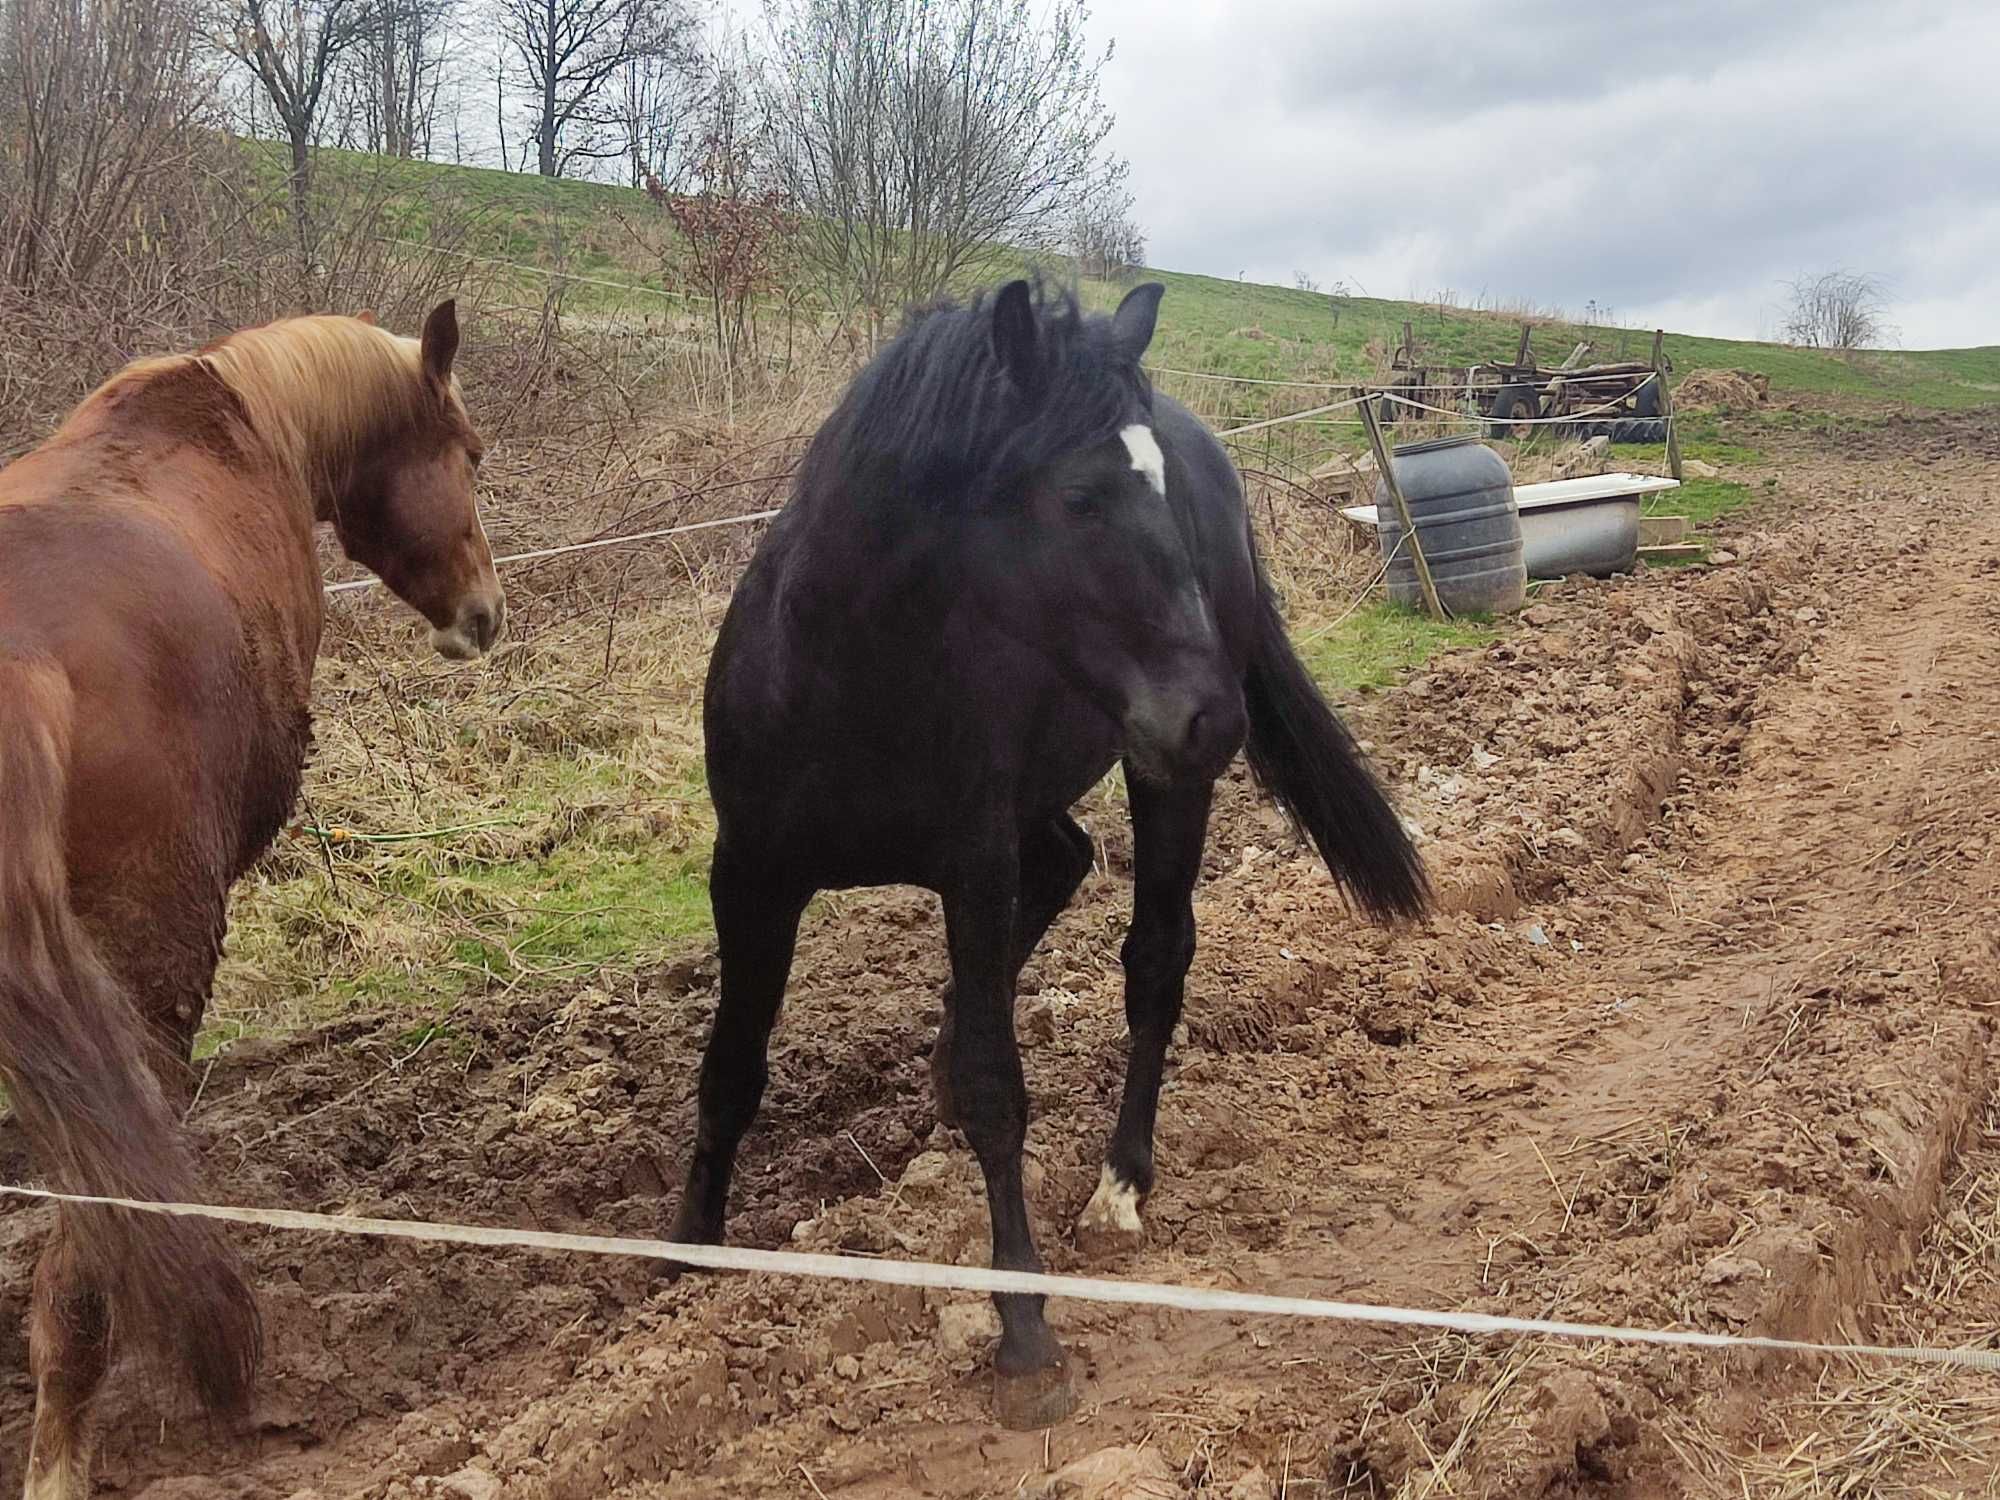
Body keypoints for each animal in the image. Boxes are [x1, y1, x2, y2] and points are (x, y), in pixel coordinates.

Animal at [680, 284, 1432, 1432]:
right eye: (1079, 496)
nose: (1214, 715)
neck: (848, 679)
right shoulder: (753, 875)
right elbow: (730, 1070)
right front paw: (685, 1262)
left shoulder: (972, 864)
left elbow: (1003, 1089)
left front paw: (1024, 1331)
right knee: (1070, 862)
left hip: (1159, 782)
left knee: (1154, 960)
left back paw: (1119, 1185)